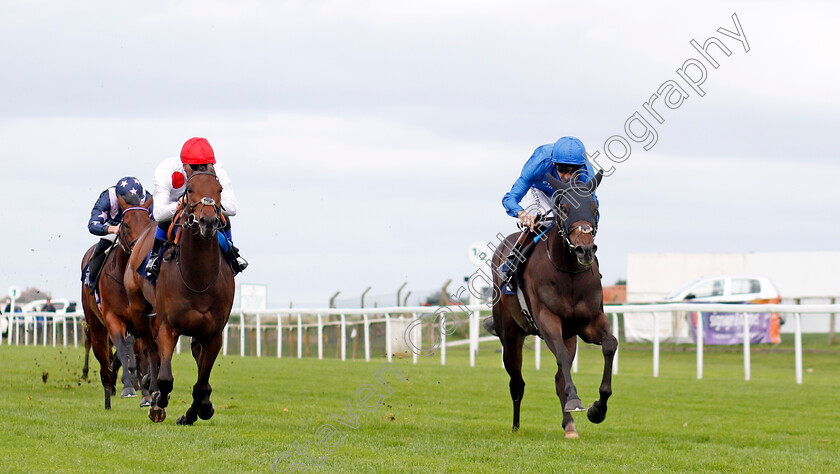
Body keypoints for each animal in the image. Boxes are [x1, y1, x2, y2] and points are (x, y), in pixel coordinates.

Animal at [130, 164, 236, 426]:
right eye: (189, 189)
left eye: (219, 189)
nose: (208, 221)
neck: (198, 279)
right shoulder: (168, 327)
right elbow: (166, 377)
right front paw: (158, 401)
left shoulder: (213, 334)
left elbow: (201, 383)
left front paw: (194, 412)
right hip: (139, 310)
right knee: (150, 350)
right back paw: (152, 389)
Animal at [486, 169, 616, 436]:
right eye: (564, 208)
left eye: (594, 207)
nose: (585, 250)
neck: (569, 274)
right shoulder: (547, 319)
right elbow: (562, 359)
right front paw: (576, 400)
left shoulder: (589, 323)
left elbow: (610, 344)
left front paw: (597, 410)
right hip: (510, 336)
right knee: (517, 382)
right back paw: (516, 426)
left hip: (570, 335)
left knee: (558, 379)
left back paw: (569, 425)